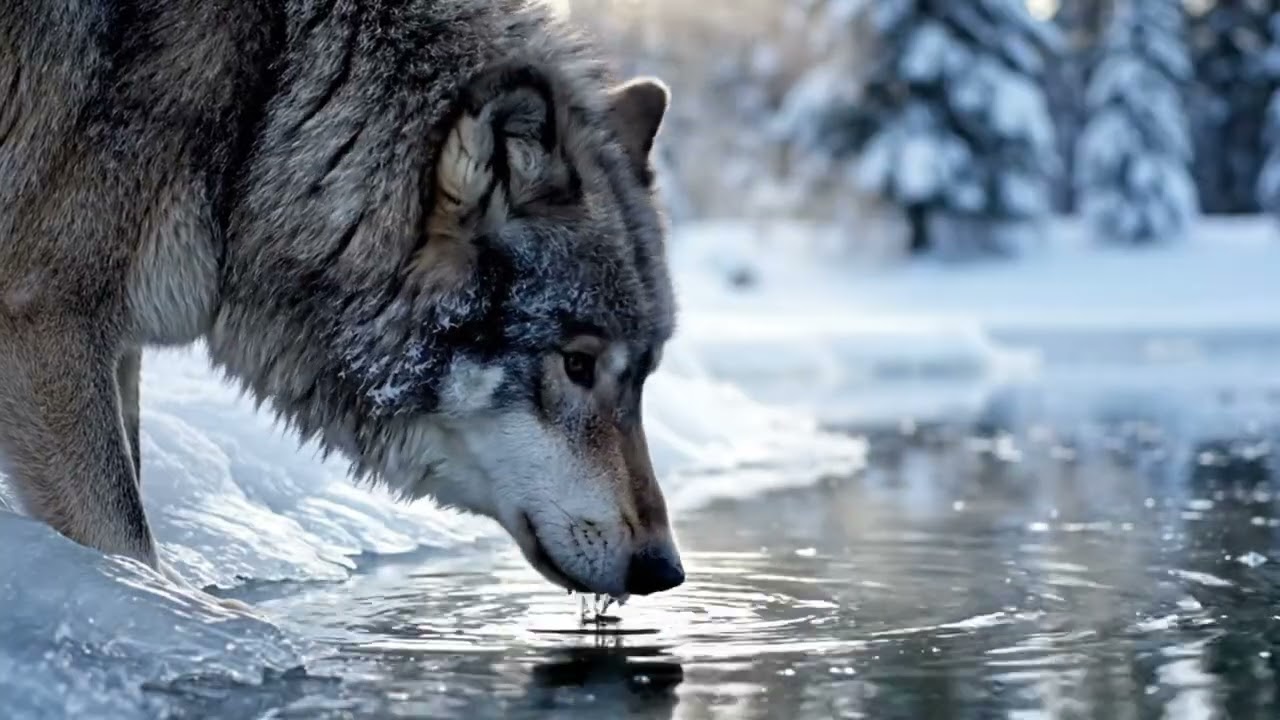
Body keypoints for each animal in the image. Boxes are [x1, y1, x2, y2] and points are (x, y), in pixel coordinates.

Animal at [0, 0, 684, 602]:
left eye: (644, 377)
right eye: (578, 364)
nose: (664, 570)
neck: (267, 105)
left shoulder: (114, 347)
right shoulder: (48, 324)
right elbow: (126, 540)